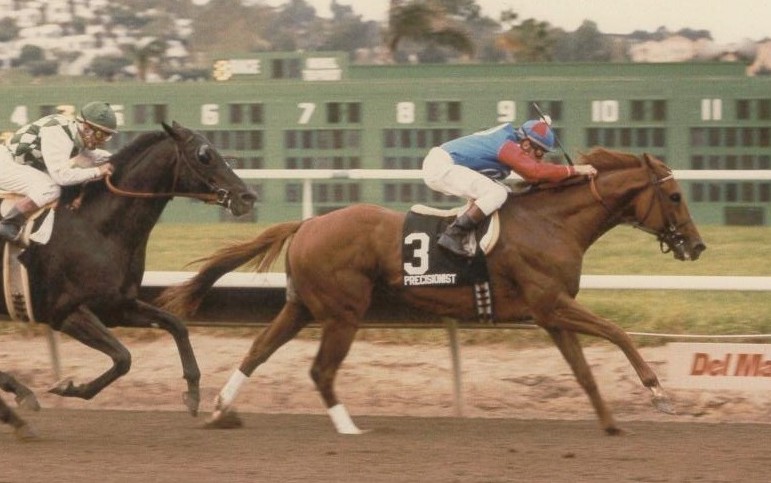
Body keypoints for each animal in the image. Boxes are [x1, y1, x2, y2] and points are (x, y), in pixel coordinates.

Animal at [2, 122, 256, 420]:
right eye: (204, 155)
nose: (247, 197)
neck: (96, 228)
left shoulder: (116, 307)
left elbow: (176, 325)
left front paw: (193, 393)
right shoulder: (64, 312)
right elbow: (124, 358)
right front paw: (69, 387)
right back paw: (21, 391)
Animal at [160, 149, 708, 436]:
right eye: (675, 195)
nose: (697, 245)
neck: (552, 222)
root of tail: (308, 222)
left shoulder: (550, 313)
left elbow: (584, 371)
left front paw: (611, 423)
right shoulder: (552, 303)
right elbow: (618, 333)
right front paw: (659, 395)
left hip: (302, 307)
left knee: (258, 349)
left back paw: (221, 408)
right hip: (343, 311)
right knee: (320, 370)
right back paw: (348, 427)